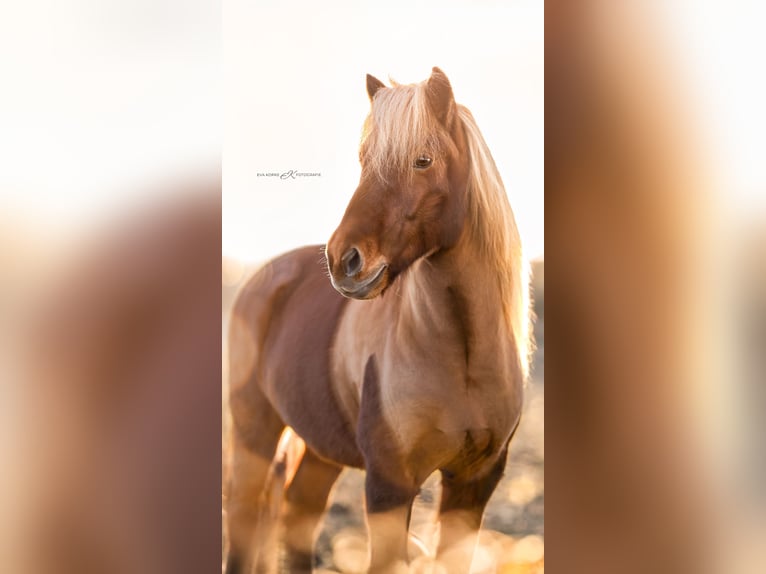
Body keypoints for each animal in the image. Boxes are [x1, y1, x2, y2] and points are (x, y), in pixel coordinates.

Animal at [225, 67, 530, 573]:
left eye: (423, 161)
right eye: (364, 159)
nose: (343, 260)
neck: (462, 356)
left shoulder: (473, 485)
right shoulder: (389, 485)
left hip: (320, 450)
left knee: (298, 516)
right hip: (254, 434)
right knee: (246, 522)